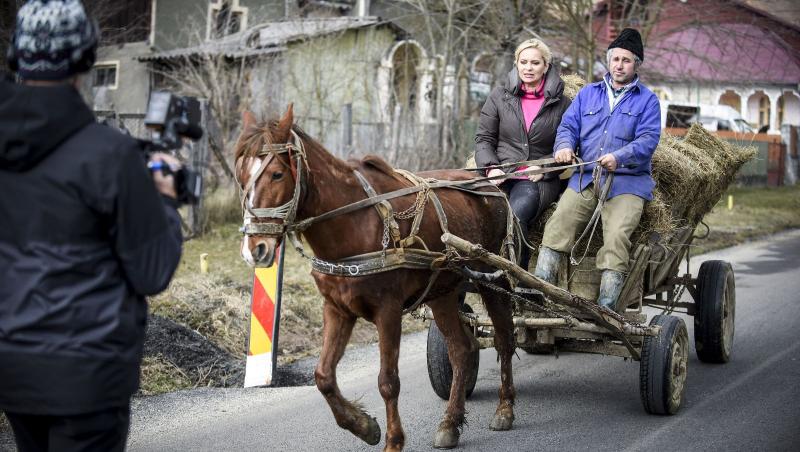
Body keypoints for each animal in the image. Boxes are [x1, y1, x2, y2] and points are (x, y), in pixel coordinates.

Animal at [231, 104, 520, 450]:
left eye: (276, 174)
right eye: (241, 175)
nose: (255, 249)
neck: (353, 223)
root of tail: (491, 186)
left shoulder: (388, 310)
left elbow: (387, 381)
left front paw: (393, 440)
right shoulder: (337, 309)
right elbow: (323, 376)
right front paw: (363, 425)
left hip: (494, 279)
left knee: (504, 339)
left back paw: (504, 409)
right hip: (442, 292)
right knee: (461, 349)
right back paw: (450, 423)